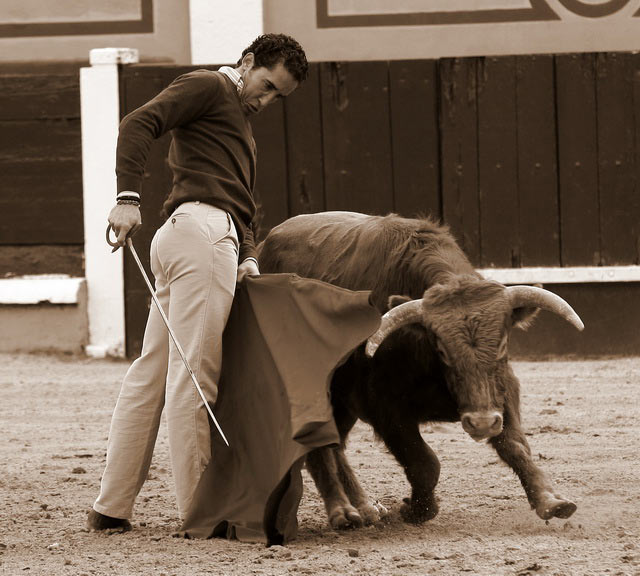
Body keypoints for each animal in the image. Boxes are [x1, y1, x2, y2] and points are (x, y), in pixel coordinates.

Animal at [258, 212, 584, 532]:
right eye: (442, 350)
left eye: (503, 343)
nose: (480, 424)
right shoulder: (382, 406)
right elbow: (424, 463)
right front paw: (416, 510)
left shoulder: (501, 393)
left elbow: (515, 445)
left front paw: (551, 502)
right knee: (317, 446)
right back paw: (343, 513)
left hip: (341, 402)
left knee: (335, 442)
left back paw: (366, 507)